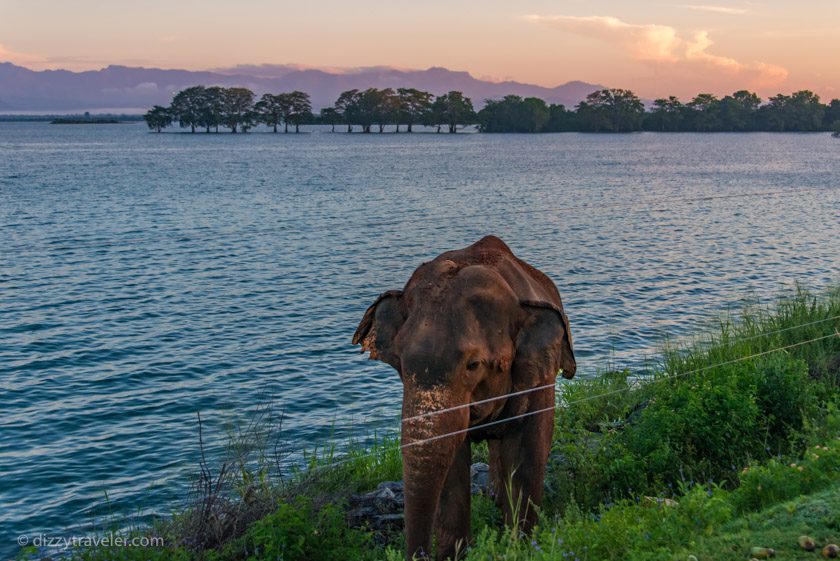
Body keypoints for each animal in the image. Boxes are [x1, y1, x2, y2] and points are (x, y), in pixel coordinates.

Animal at [352, 234, 576, 556]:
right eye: (401, 362)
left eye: (474, 365)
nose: (421, 556)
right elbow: (452, 462)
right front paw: (455, 554)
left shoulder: (540, 376)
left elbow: (528, 450)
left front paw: (522, 545)